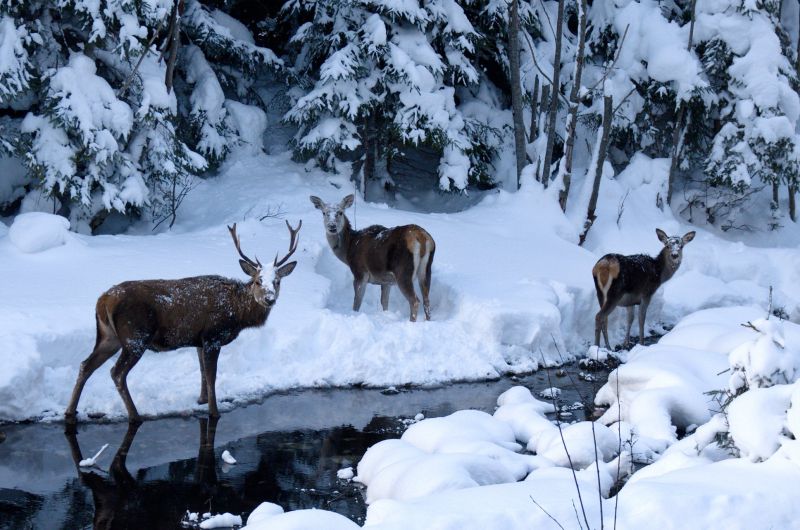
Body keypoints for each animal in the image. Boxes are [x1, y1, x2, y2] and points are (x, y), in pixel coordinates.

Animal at [64, 221, 302, 422]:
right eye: (258, 281)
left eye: (277, 281)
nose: (269, 299)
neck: (237, 315)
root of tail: (103, 300)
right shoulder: (213, 335)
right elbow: (212, 376)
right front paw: (213, 411)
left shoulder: (199, 339)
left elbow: (202, 372)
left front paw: (201, 400)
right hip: (135, 337)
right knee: (116, 373)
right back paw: (135, 415)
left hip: (109, 336)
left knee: (86, 365)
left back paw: (70, 411)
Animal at [310, 192, 434, 320]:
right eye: (324, 213)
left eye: (340, 212)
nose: (332, 226)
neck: (349, 248)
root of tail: (422, 238)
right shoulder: (386, 281)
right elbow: (384, 302)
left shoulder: (360, 272)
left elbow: (357, 303)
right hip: (426, 270)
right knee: (426, 301)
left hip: (403, 271)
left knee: (415, 301)